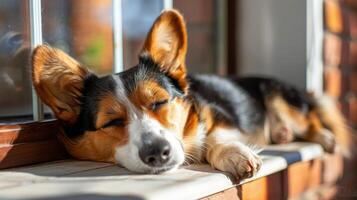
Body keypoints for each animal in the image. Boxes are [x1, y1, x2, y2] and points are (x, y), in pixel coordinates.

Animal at [32, 9, 350, 178]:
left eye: (159, 102)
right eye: (111, 122)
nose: (157, 153)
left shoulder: (217, 116)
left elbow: (215, 138)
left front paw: (235, 154)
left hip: (282, 100)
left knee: (310, 119)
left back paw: (324, 137)